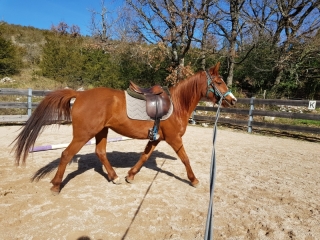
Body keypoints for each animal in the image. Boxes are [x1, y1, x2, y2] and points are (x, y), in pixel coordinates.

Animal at [11, 62, 238, 195]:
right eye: (219, 81)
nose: (233, 100)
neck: (176, 104)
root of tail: (80, 94)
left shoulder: (155, 138)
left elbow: (144, 156)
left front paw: (130, 175)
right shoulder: (174, 139)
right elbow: (185, 158)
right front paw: (194, 180)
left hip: (101, 132)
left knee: (100, 152)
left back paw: (114, 177)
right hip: (84, 134)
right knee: (67, 154)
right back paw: (56, 185)